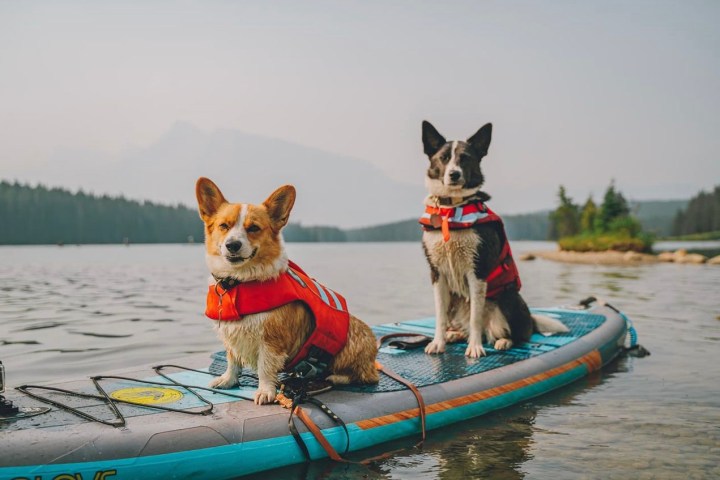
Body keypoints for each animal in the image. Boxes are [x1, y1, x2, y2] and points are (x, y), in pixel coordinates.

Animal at [420, 121, 564, 356]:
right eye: (443, 158)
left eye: (465, 158)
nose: (454, 174)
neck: (452, 209)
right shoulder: (437, 273)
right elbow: (440, 316)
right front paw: (438, 342)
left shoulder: (478, 270)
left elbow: (475, 318)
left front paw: (475, 348)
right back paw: (454, 335)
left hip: (508, 298)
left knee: (517, 335)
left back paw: (503, 341)